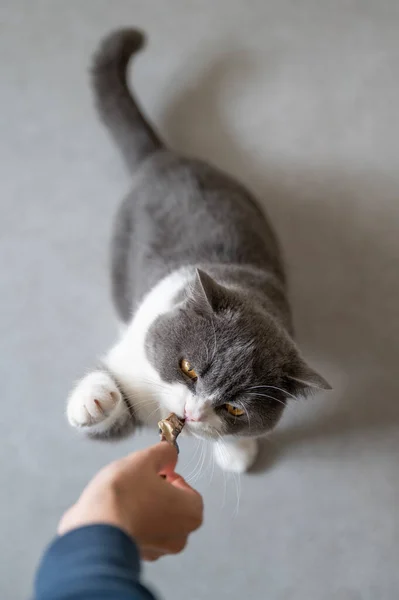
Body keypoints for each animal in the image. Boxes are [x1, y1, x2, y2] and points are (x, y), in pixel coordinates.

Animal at [68, 29, 332, 474]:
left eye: (235, 409)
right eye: (188, 367)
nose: (192, 414)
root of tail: (163, 157)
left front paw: (237, 452)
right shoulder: (138, 370)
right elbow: (114, 419)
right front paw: (95, 399)